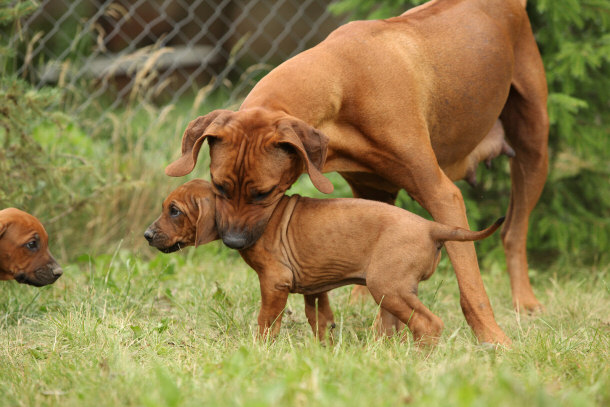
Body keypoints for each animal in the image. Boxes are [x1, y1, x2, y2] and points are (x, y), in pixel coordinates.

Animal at [165, 0, 548, 348]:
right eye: (219, 186)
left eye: (264, 193)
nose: (233, 242)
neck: (343, 81)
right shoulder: (370, 190)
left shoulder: (443, 194)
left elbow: (471, 287)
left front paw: (494, 339)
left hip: (534, 146)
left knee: (513, 232)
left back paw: (524, 304)